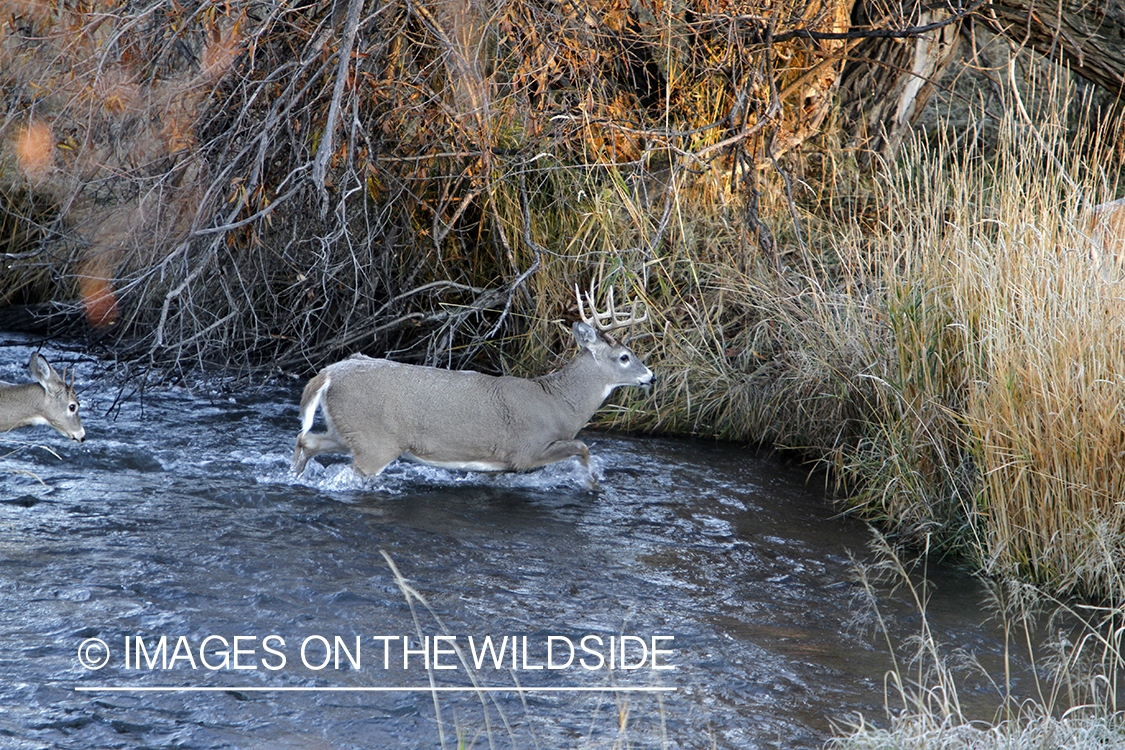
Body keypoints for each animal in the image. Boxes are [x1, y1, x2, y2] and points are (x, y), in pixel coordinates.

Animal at [294, 284, 657, 483]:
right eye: (625, 357)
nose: (650, 376)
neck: (559, 404)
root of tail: (330, 372)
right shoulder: (526, 449)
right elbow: (582, 447)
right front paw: (592, 482)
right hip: (375, 440)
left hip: (348, 429)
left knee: (307, 441)